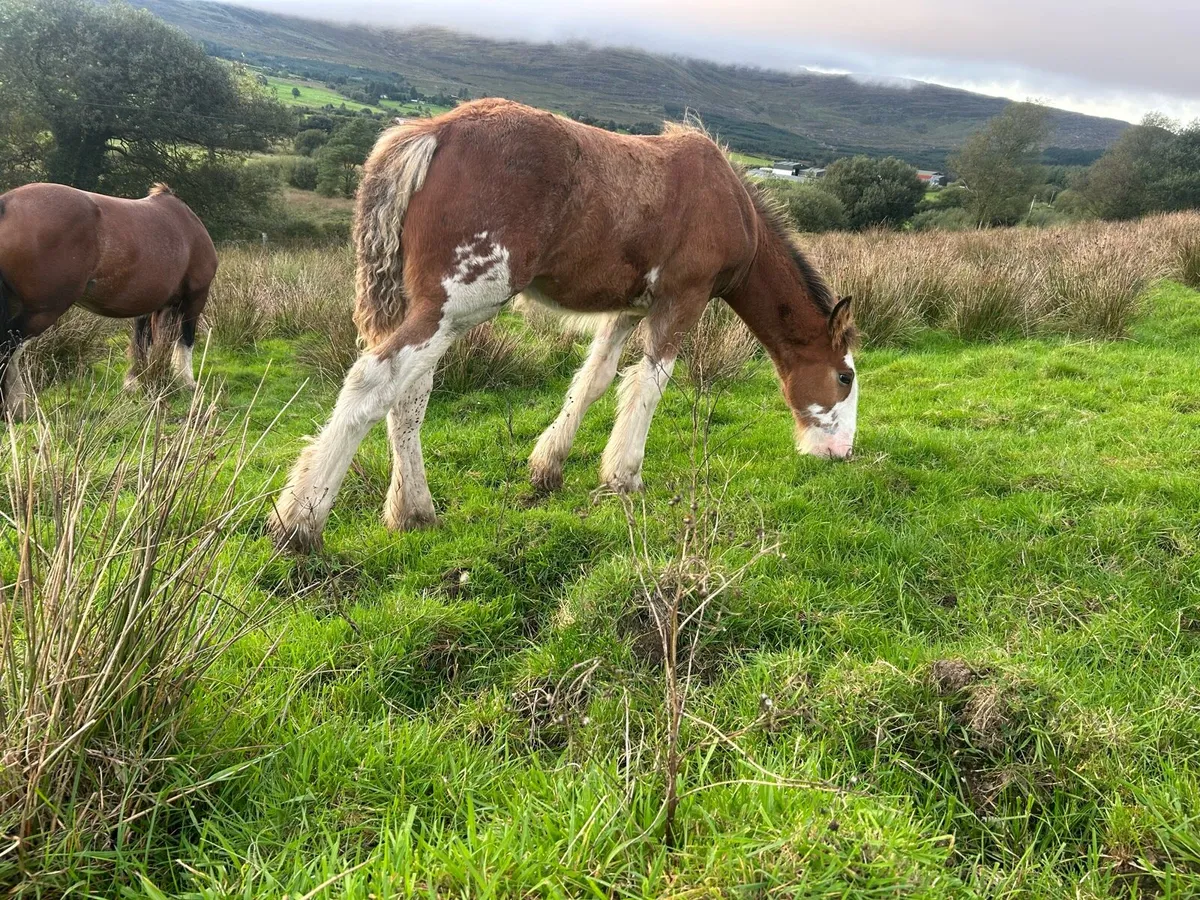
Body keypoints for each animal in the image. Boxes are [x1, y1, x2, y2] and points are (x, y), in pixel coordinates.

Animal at [0, 182, 218, 418]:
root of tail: (7, 203)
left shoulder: (151, 303)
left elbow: (143, 342)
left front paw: (137, 381)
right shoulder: (195, 299)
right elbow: (185, 340)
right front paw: (187, 383)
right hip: (41, 311)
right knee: (9, 351)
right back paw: (17, 407)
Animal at [269, 98, 859, 553]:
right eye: (845, 377)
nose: (840, 454)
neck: (731, 204)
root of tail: (431, 131)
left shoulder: (629, 308)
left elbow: (595, 381)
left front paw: (548, 465)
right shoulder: (682, 300)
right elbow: (649, 384)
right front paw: (624, 476)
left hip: (433, 308)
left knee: (408, 398)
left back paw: (413, 512)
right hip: (456, 305)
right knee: (376, 382)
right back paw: (299, 522)